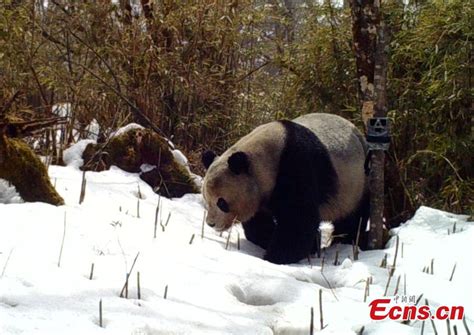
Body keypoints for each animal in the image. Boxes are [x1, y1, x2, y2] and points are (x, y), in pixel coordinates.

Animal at [202, 113, 368, 266]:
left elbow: (298, 219)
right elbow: (257, 223)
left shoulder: (297, 166)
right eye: (206, 200)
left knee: (353, 217)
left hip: (356, 183)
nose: (211, 223)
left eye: (221, 203)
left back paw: (347, 240)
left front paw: (275, 258)